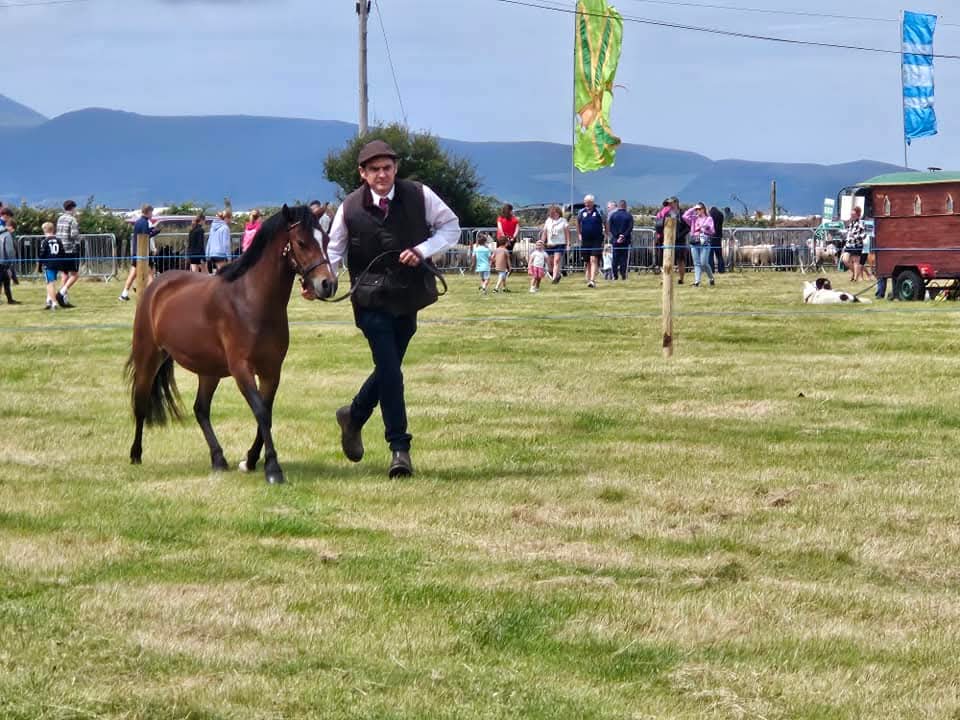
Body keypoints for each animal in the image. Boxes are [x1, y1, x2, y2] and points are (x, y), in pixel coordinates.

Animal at [125, 204, 338, 485]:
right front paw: (273, 469)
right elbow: (261, 412)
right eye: (301, 242)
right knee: (141, 404)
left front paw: (250, 461)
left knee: (201, 409)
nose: (328, 284)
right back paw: (136, 455)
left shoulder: (271, 371)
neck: (252, 300)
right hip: (148, 357)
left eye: (326, 239)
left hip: (209, 371)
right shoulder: (241, 369)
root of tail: (156, 285)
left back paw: (218, 459)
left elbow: (266, 412)